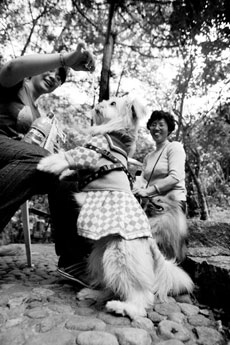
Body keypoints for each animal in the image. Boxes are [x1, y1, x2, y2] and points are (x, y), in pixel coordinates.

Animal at [37, 93, 192, 318]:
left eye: (112, 103)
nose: (98, 105)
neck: (115, 134)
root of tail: (152, 244)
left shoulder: (89, 153)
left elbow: (69, 156)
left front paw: (46, 163)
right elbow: (72, 169)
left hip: (120, 256)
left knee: (140, 296)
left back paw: (122, 307)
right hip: (98, 257)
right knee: (111, 286)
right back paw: (92, 294)